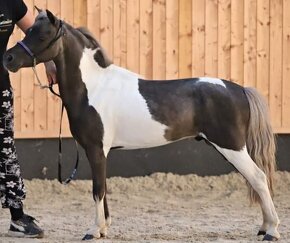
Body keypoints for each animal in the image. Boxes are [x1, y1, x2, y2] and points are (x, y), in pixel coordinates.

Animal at [3, 9, 280, 241]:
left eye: (42, 35)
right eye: (28, 31)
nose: (8, 58)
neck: (93, 87)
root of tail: (240, 89)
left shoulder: (96, 150)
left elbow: (97, 189)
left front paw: (93, 231)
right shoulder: (100, 153)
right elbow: (103, 188)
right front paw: (103, 229)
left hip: (232, 147)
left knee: (258, 178)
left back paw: (272, 231)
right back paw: (264, 227)